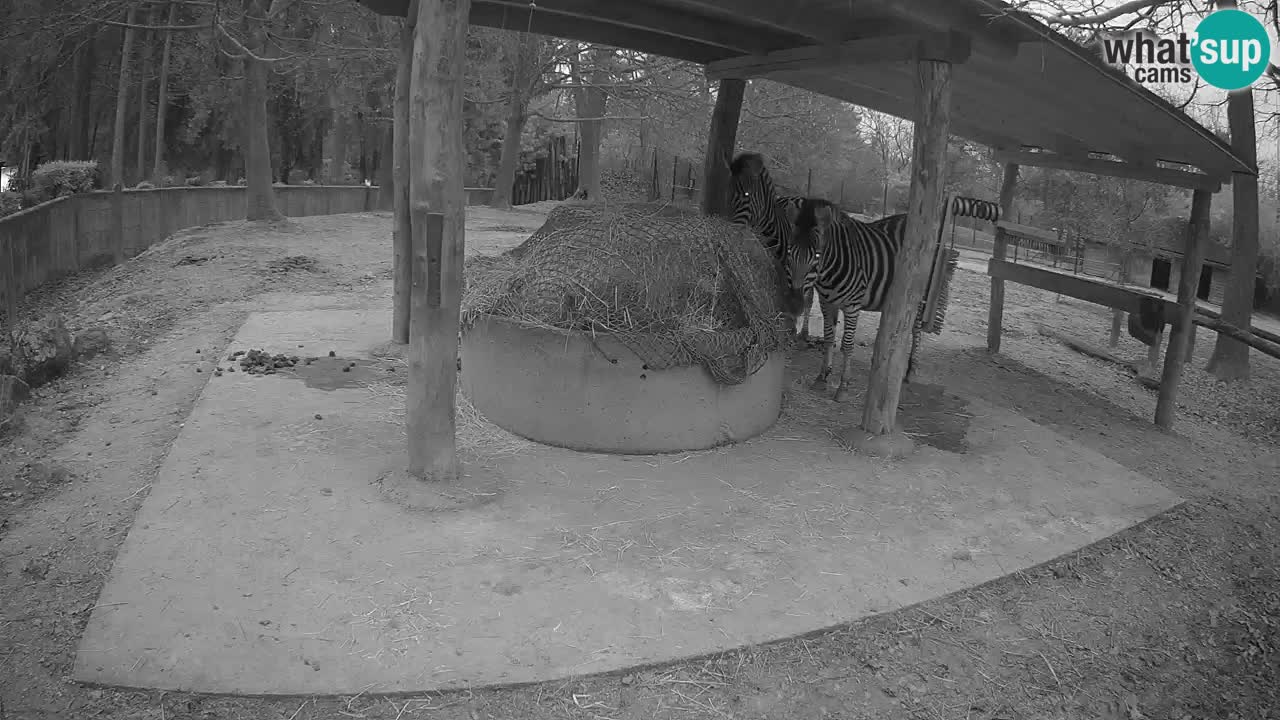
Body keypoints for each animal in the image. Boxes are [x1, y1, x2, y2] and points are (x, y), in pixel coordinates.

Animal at [727, 152, 825, 341]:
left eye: (746, 195)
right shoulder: (778, 265)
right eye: (728, 191)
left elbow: (802, 298)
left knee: (809, 298)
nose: (728, 227)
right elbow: (781, 293)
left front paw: (793, 328)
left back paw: (804, 332)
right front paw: (785, 324)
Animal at [787, 197, 929, 402]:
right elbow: (829, 339)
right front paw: (822, 378)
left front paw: (843, 387)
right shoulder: (827, 303)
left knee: (916, 328)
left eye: (817, 255)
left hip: (920, 291)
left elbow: (847, 345)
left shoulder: (852, 306)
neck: (829, 271)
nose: (794, 304)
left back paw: (911, 370)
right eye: (790, 252)